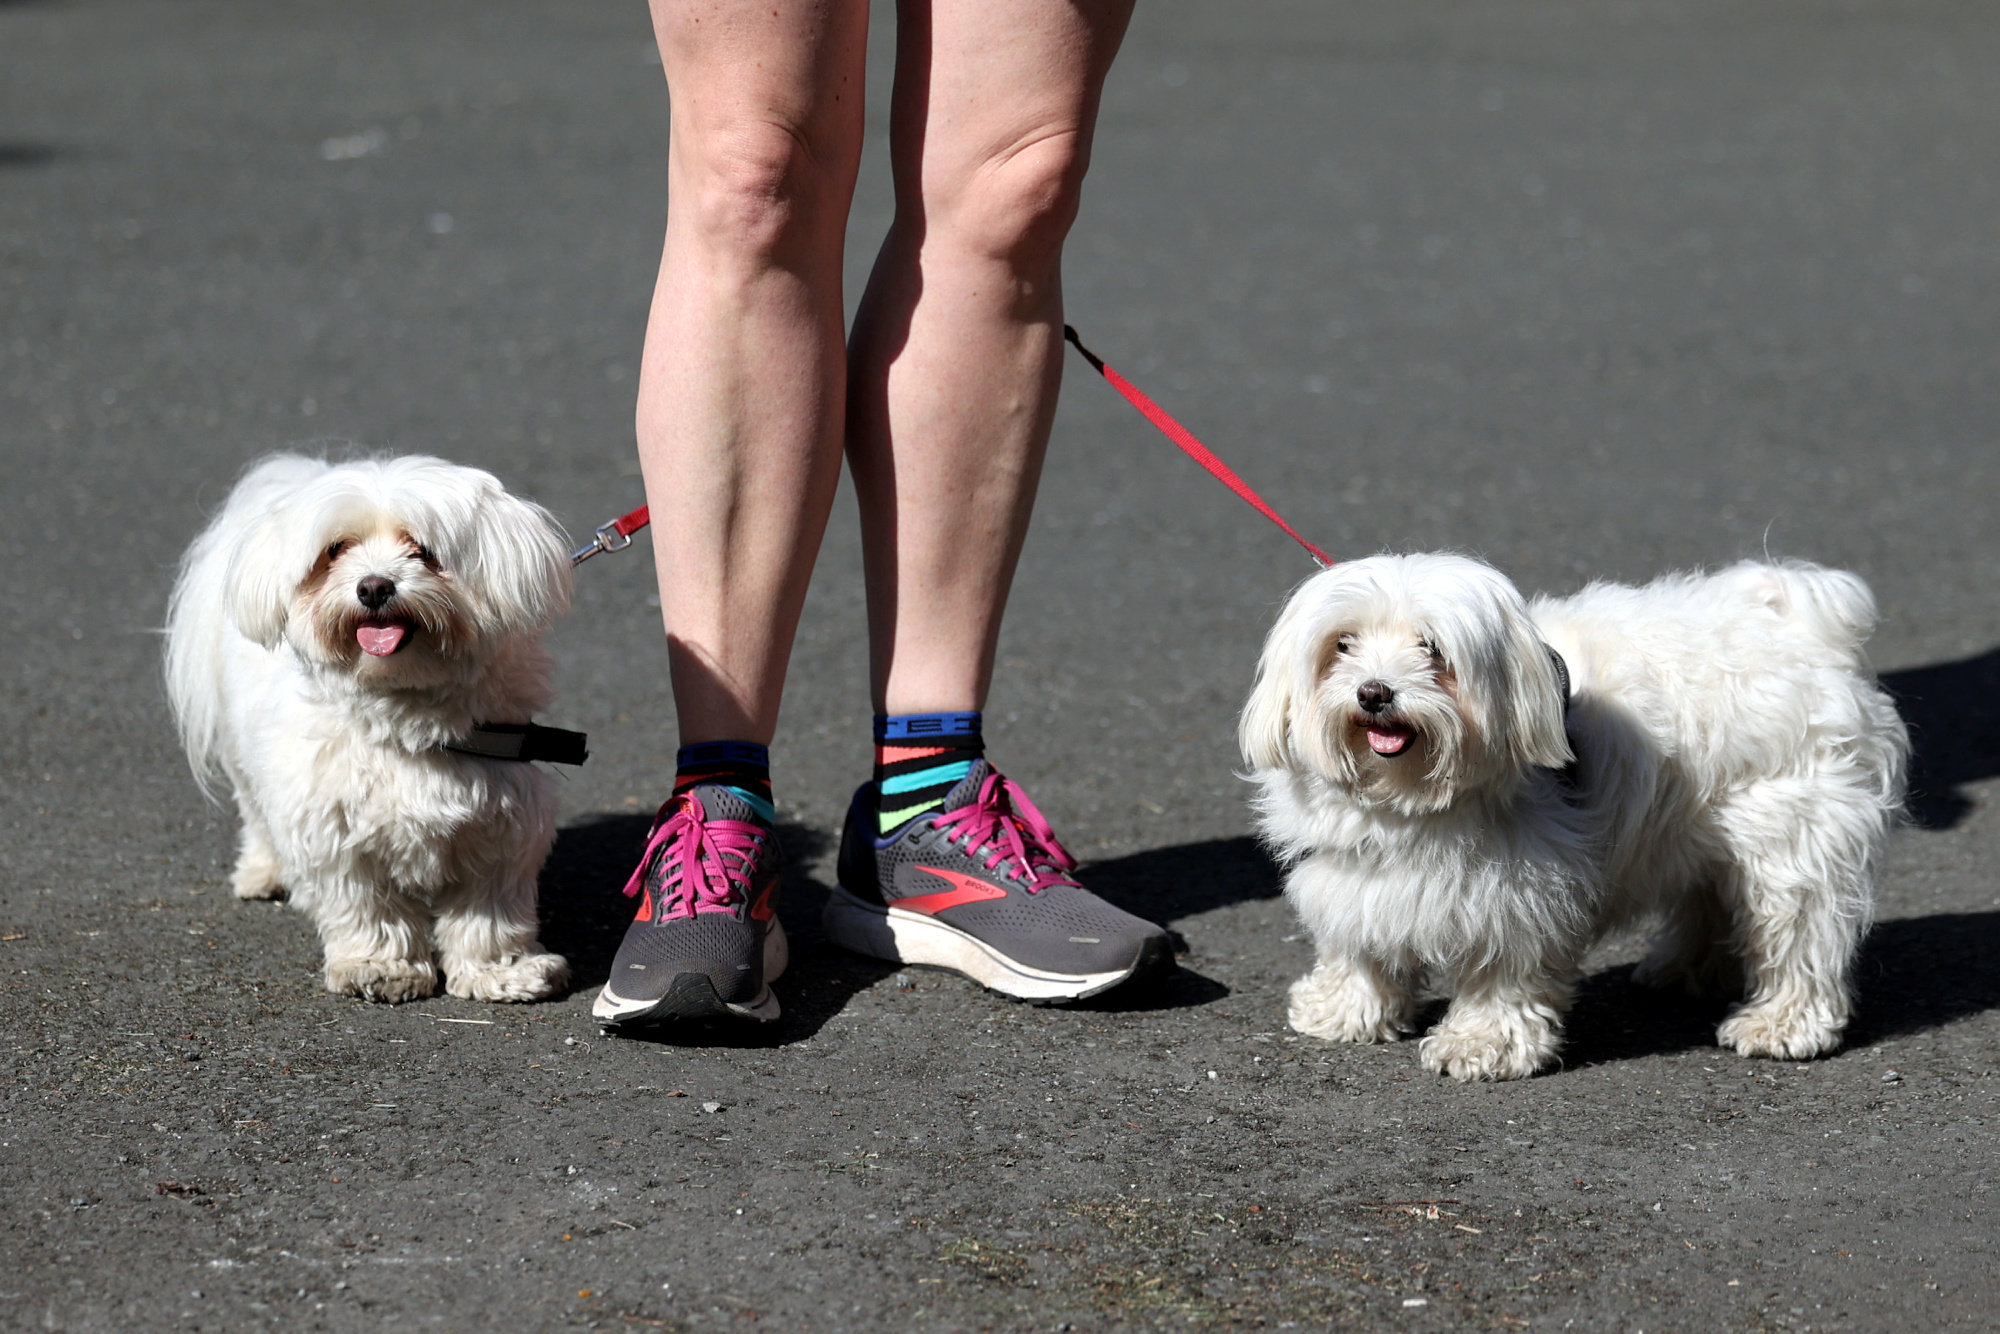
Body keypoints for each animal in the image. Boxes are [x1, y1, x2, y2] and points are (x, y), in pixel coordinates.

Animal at [163, 456, 576, 1000]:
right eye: (336, 550)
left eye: (423, 549)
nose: (374, 586)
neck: (401, 713)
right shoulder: (335, 828)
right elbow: (367, 906)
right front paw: (379, 966)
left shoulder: (503, 821)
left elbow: (489, 910)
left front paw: (501, 971)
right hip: (247, 758)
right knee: (256, 814)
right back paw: (265, 871)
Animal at [1240, 552, 1912, 1088]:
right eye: (1343, 644)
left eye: (1432, 649)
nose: (1374, 692)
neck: (1408, 802)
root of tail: (1798, 623)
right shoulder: (1354, 876)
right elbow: (1357, 945)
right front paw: (1343, 1009)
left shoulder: (1515, 895)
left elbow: (1501, 972)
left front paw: (1482, 1044)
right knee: (1713, 896)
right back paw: (1685, 969)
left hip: (1793, 840)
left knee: (1802, 933)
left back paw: (1782, 1023)